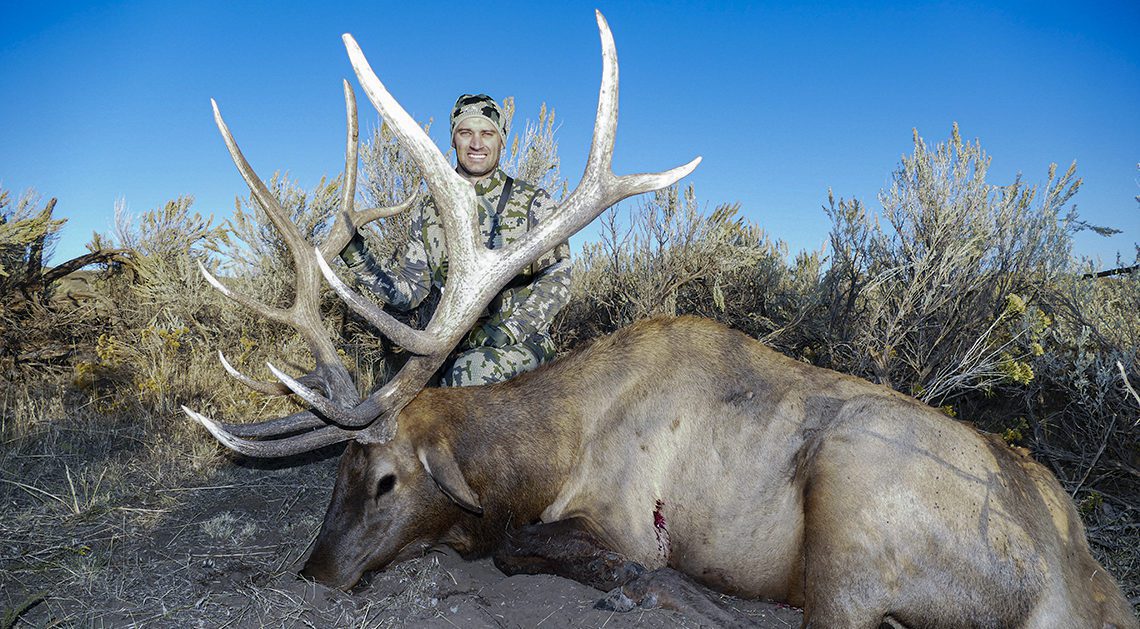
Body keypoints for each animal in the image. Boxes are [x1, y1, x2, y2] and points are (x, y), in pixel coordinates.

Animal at [183, 12, 1138, 629]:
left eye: (385, 480)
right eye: (333, 476)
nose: (313, 572)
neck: (549, 448)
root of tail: (1077, 586)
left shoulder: (615, 516)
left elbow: (521, 544)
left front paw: (649, 585)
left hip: (854, 512)